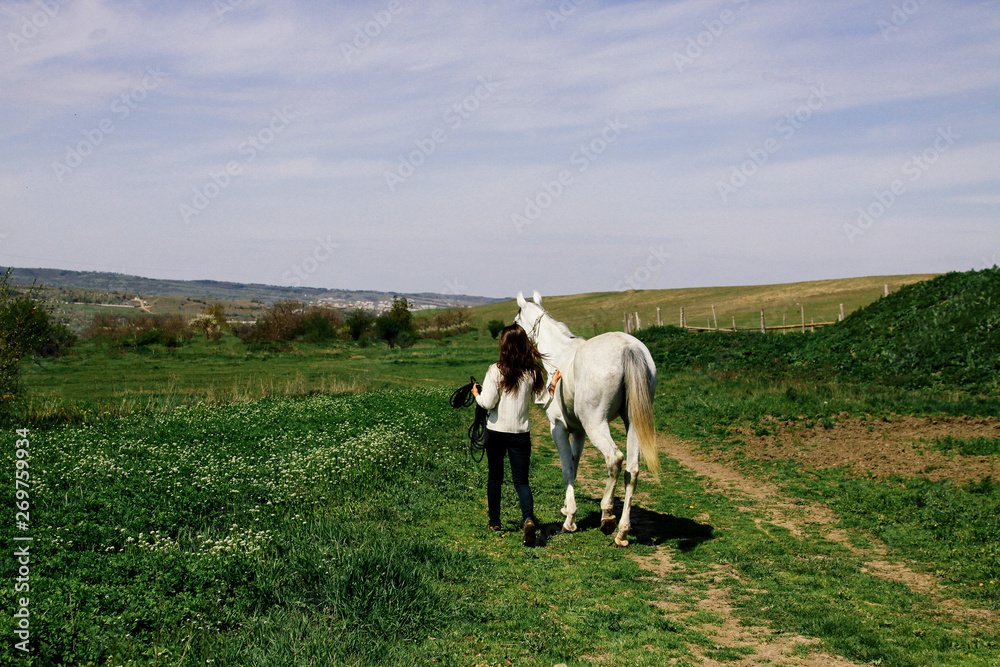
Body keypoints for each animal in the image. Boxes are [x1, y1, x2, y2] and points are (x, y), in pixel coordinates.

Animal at [514, 290, 659, 547]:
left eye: (516, 321)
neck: (559, 354)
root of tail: (629, 348)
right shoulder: (579, 431)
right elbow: (574, 464)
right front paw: (566, 508)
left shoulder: (559, 429)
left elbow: (567, 469)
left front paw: (570, 520)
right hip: (631, 424)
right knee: (632, 470)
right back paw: (622, 532)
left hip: (596, 424)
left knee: (615, 459)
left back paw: (607, 515)